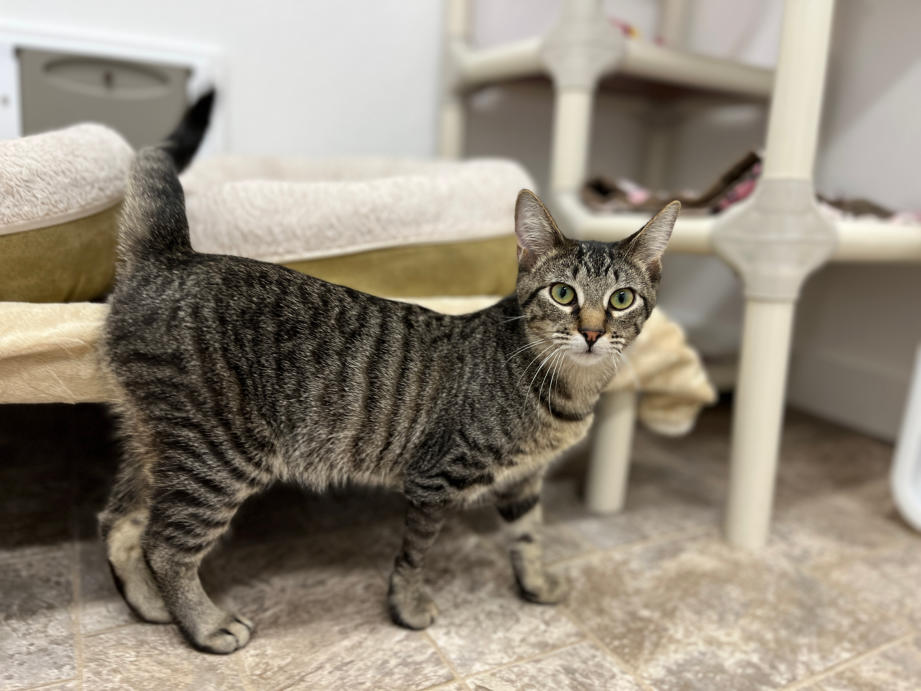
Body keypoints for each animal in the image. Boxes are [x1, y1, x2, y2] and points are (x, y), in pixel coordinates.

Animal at [99, 143, 679, 654]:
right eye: (562, 294)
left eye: (621, 300)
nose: (592, 333)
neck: (565, 391)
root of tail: (175, 256)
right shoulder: (434, 479)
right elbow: (415, 556)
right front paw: (409, 607)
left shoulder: (524, 481)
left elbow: (529, 540)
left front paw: (534, 586)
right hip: (219, 456)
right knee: (165, 545)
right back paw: (203, 624)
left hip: (160, 443)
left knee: (120, 524)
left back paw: (152, 606)